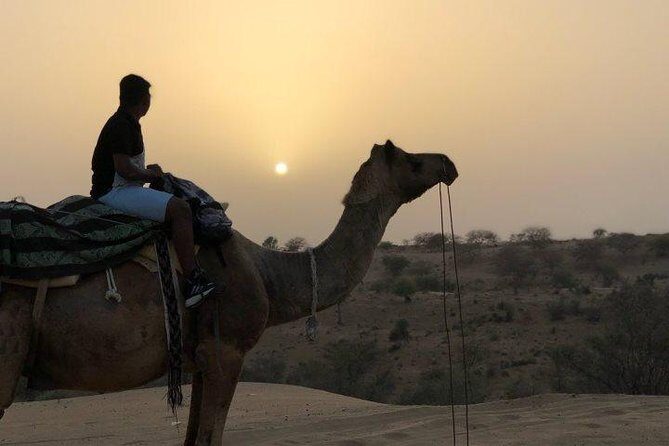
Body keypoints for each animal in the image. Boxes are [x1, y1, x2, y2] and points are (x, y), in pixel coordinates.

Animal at [0, 140, 458, 445]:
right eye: (413, 160)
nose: (448, 163)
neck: (268, 274)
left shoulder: (202, 356)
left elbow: (194, 437)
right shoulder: (228, 351)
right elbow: (210, 438)